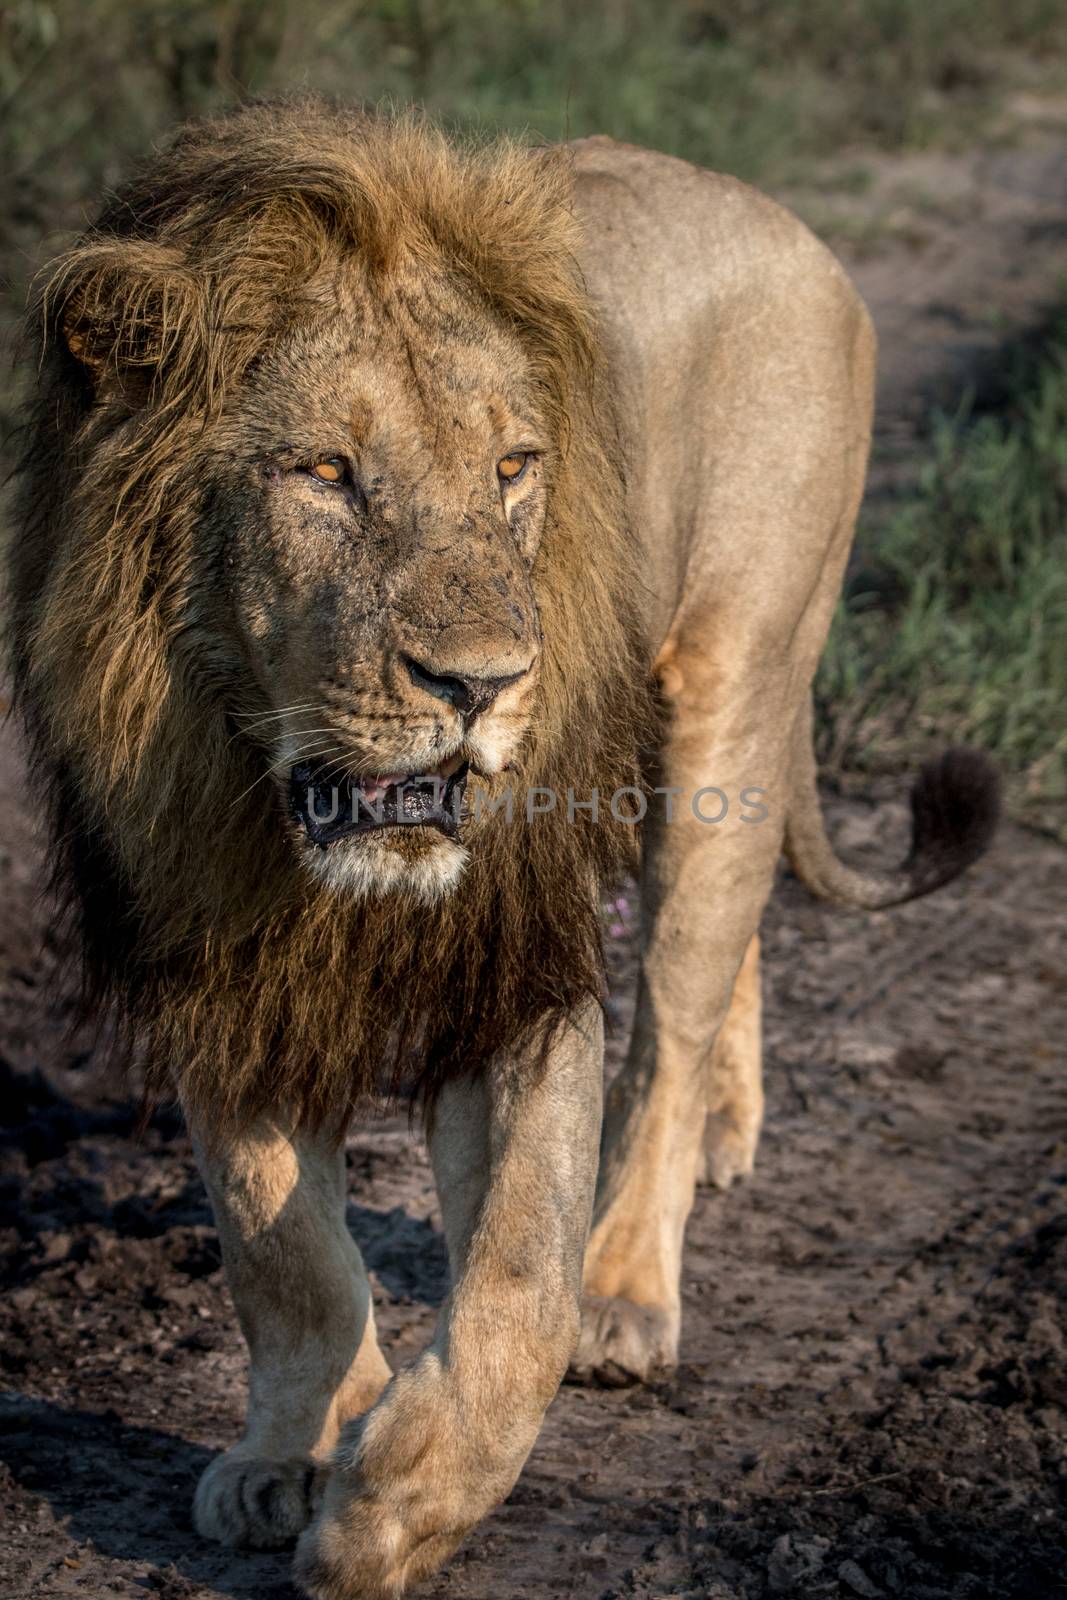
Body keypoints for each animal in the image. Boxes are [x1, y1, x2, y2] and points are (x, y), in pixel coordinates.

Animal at [8, 100, 998, 1600]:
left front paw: (398, 1500)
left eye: (511, 469)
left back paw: (630, 1286)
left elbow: (522, 1265)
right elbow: (278, 1243)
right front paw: (298, 1445)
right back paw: (730, 1127)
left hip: (730, 682)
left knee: (673, 1017)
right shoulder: (215, 957)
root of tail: (780, 218)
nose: (481, 685)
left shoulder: (514, 954)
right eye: (325, 472)